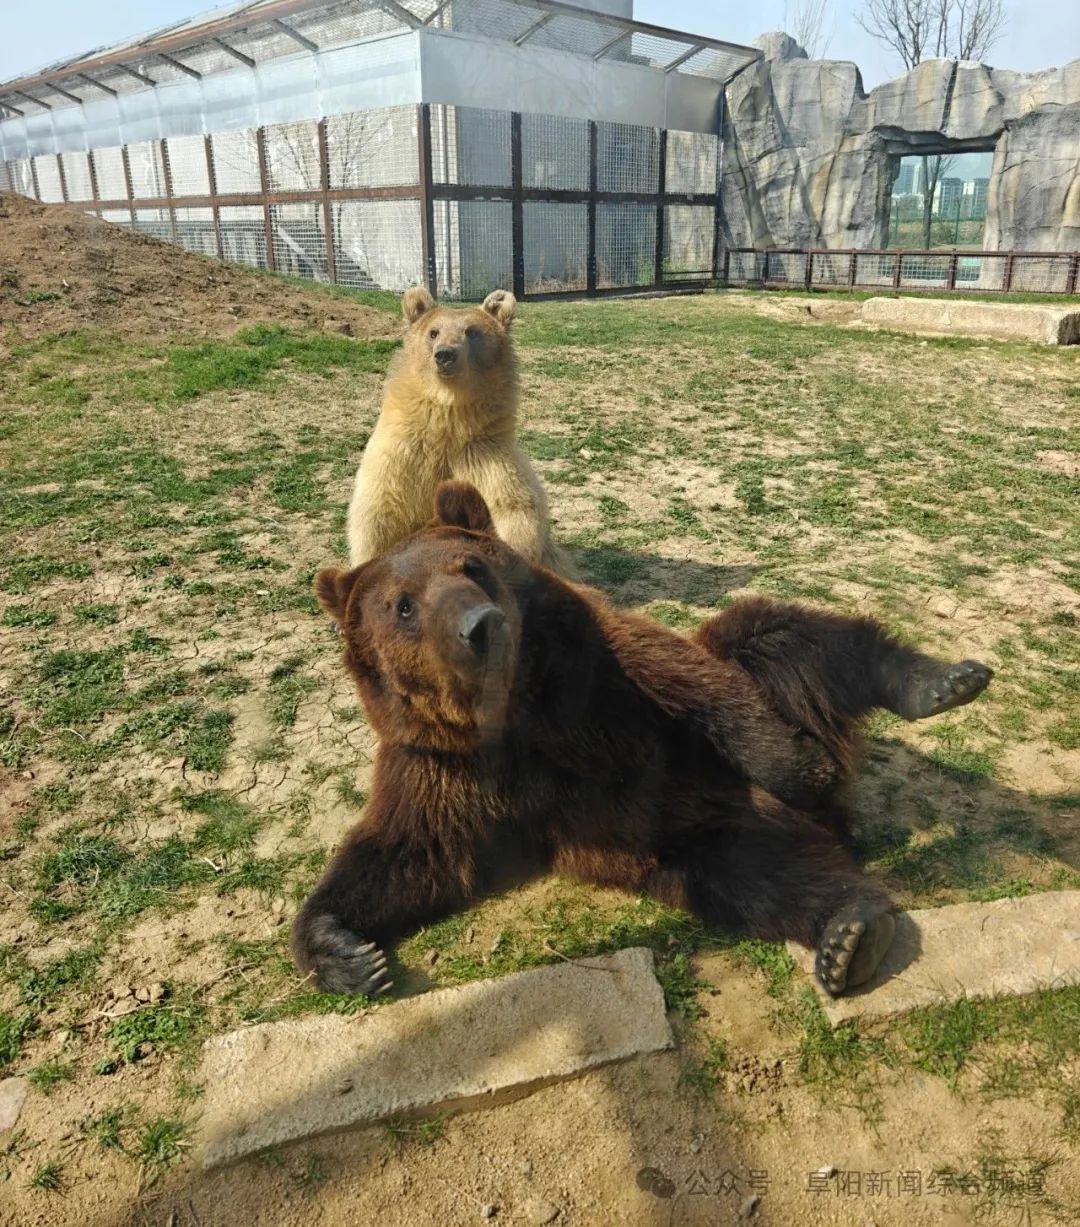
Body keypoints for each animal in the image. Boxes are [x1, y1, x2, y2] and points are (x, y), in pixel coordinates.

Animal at [290, 478, 991, 996]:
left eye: (473, 566)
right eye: (404, 605)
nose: (480, 626)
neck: (517, 710)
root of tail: (834, 823)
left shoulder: (601, 661)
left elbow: (696, 685)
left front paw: (799, 765)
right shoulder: (442, 765)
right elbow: (412, 852)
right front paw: (346, 950)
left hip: (752, 717)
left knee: (785, 637)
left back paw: (938, 683)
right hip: (695, 845)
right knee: (764, 878)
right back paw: (847, 935)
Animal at [348, 287, 574, 574]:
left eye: (471, 331)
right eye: (433, 332)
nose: (445, 354)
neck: (448, 422)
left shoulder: (484, 456)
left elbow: (513, 510)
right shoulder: (403, 455)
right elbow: (380, 515)